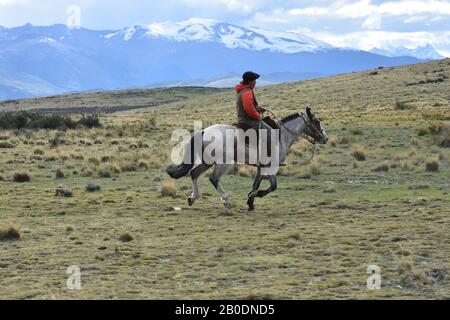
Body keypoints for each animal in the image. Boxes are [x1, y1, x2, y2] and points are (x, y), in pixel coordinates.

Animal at [167, 107, 328, 211]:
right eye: (317, 121)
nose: (325, 138)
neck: (281, 136)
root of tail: (204, 131)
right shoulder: (271, 167)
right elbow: (272, 186)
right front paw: (254, 196)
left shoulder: (261, 167)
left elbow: (256, 184)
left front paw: (250, 202)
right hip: (222, 163)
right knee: (214, 179)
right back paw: (227, 201)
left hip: (208, 161)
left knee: (194, 173)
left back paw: (192, 198)